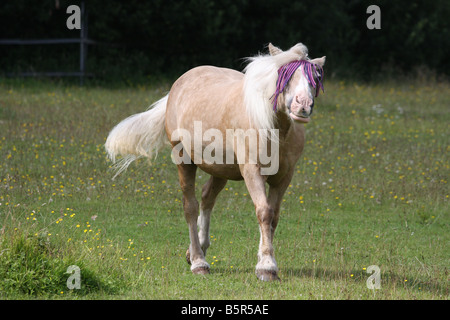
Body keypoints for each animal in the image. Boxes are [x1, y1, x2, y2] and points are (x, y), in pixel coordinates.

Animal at [105, 42, 324, 280]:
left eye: (315, 77)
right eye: (284, 75)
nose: (303, 105)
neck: (275, 129)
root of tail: (177, 86)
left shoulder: (283, 177)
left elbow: (273, 217)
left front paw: (265, 261)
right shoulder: (252, 171)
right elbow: (264, 212)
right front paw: (267, 267)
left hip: (221, 170)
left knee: (207, 198)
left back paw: (196, 251)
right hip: (184, 160)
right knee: (190, 207)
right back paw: (198, 262)